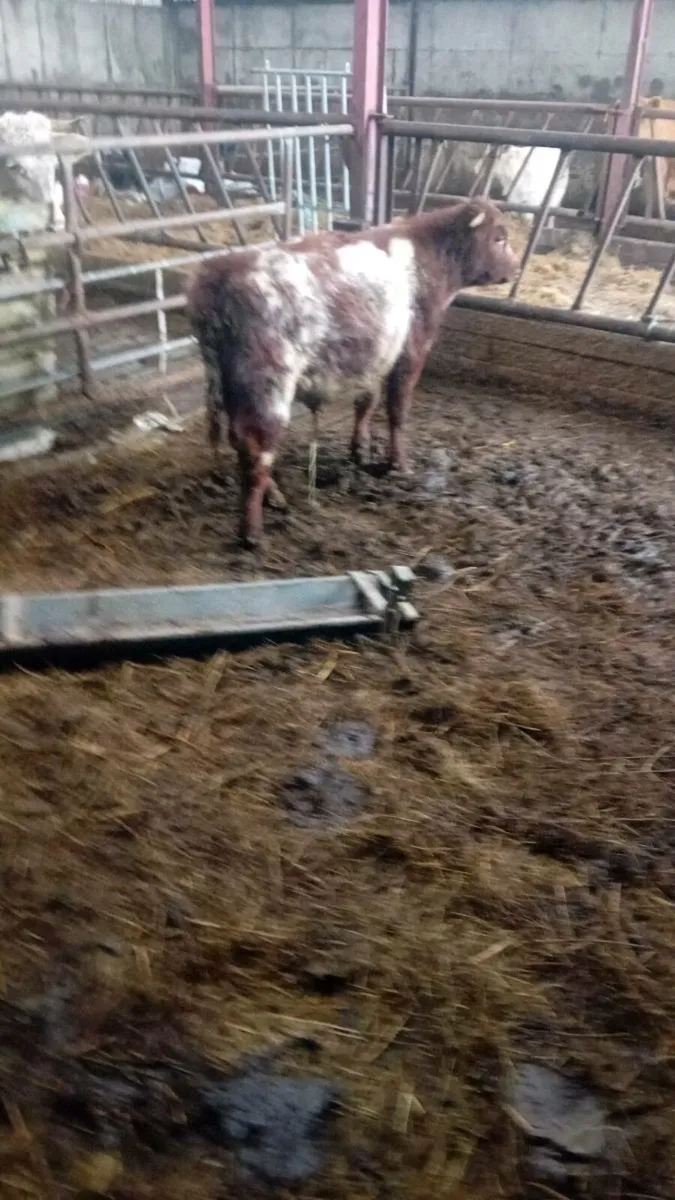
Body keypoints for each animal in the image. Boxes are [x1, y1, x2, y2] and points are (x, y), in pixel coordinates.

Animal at [189, 197, 518, 547]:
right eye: (499, 238)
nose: (516, 269)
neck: (426, 254)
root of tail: (220, 270)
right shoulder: (413, 349)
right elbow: (398, 411)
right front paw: (399, 463)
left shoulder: (375, 355)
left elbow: (366, 402)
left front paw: (360, 450)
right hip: (268, 387)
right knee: (256, 450)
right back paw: (252, 531)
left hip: (231, 385)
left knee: (242, 443)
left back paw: (273, 497)